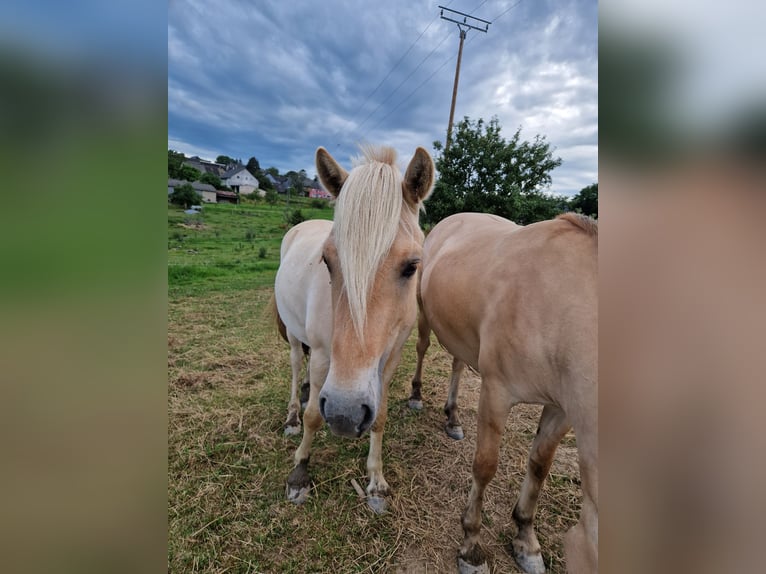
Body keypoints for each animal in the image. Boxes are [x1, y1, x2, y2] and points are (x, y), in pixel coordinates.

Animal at [273, 144, 434, 513]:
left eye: (412, 266)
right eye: (327, 261)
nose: (345, 414)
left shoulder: (389, 358)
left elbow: (380, 416)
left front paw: (375, 479)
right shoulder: (322, 355)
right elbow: (314, 417)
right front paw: (300, 471)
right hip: (293, 334)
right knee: (295, 366)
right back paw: (292, 416)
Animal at [413, 212, 597, 574]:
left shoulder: (562, 409)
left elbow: (540, 466)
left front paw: (526, 541)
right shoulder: (496, 393)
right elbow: (485, 465)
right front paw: (471, 546)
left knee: (457, 363)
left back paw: (453, 418)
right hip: (425, 316)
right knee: (422, 348)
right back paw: (415, 396)